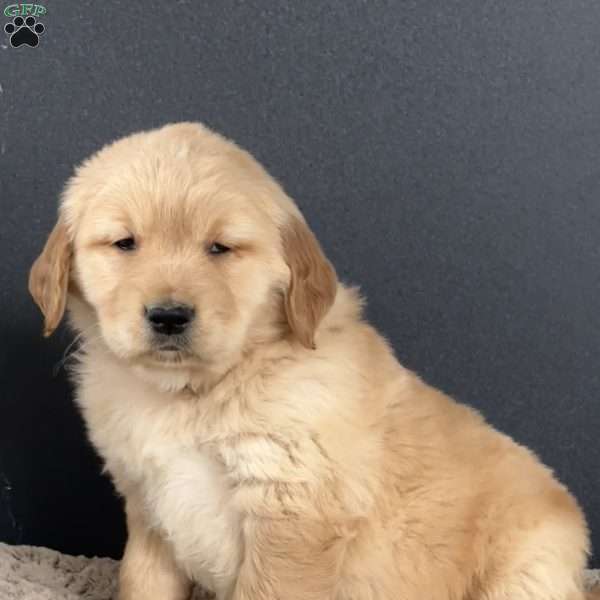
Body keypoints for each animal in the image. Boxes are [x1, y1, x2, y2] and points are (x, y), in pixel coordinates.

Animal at [29, 123, 592, 600]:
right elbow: (142, 584)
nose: (169, 316)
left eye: (220, 248)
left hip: (526, 569)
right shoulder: (150, 509)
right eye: (125, 243)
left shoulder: (291, 512)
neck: (195, 392)